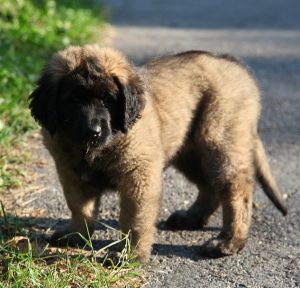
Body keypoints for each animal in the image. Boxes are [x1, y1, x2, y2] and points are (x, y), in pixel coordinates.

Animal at [29, 44, 288, 260]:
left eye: (108, 99)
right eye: (73, 100)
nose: (92, 131)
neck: (97, 149)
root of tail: (232, 63)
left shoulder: (138, 174)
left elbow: (134, 219)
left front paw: (131, 256)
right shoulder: (71, 173)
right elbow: (79, 208)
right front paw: (76, 235)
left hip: (219, 141)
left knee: (237, 190)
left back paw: (228, 242)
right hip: (189, 150)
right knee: (210, 186)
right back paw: (190, 218)